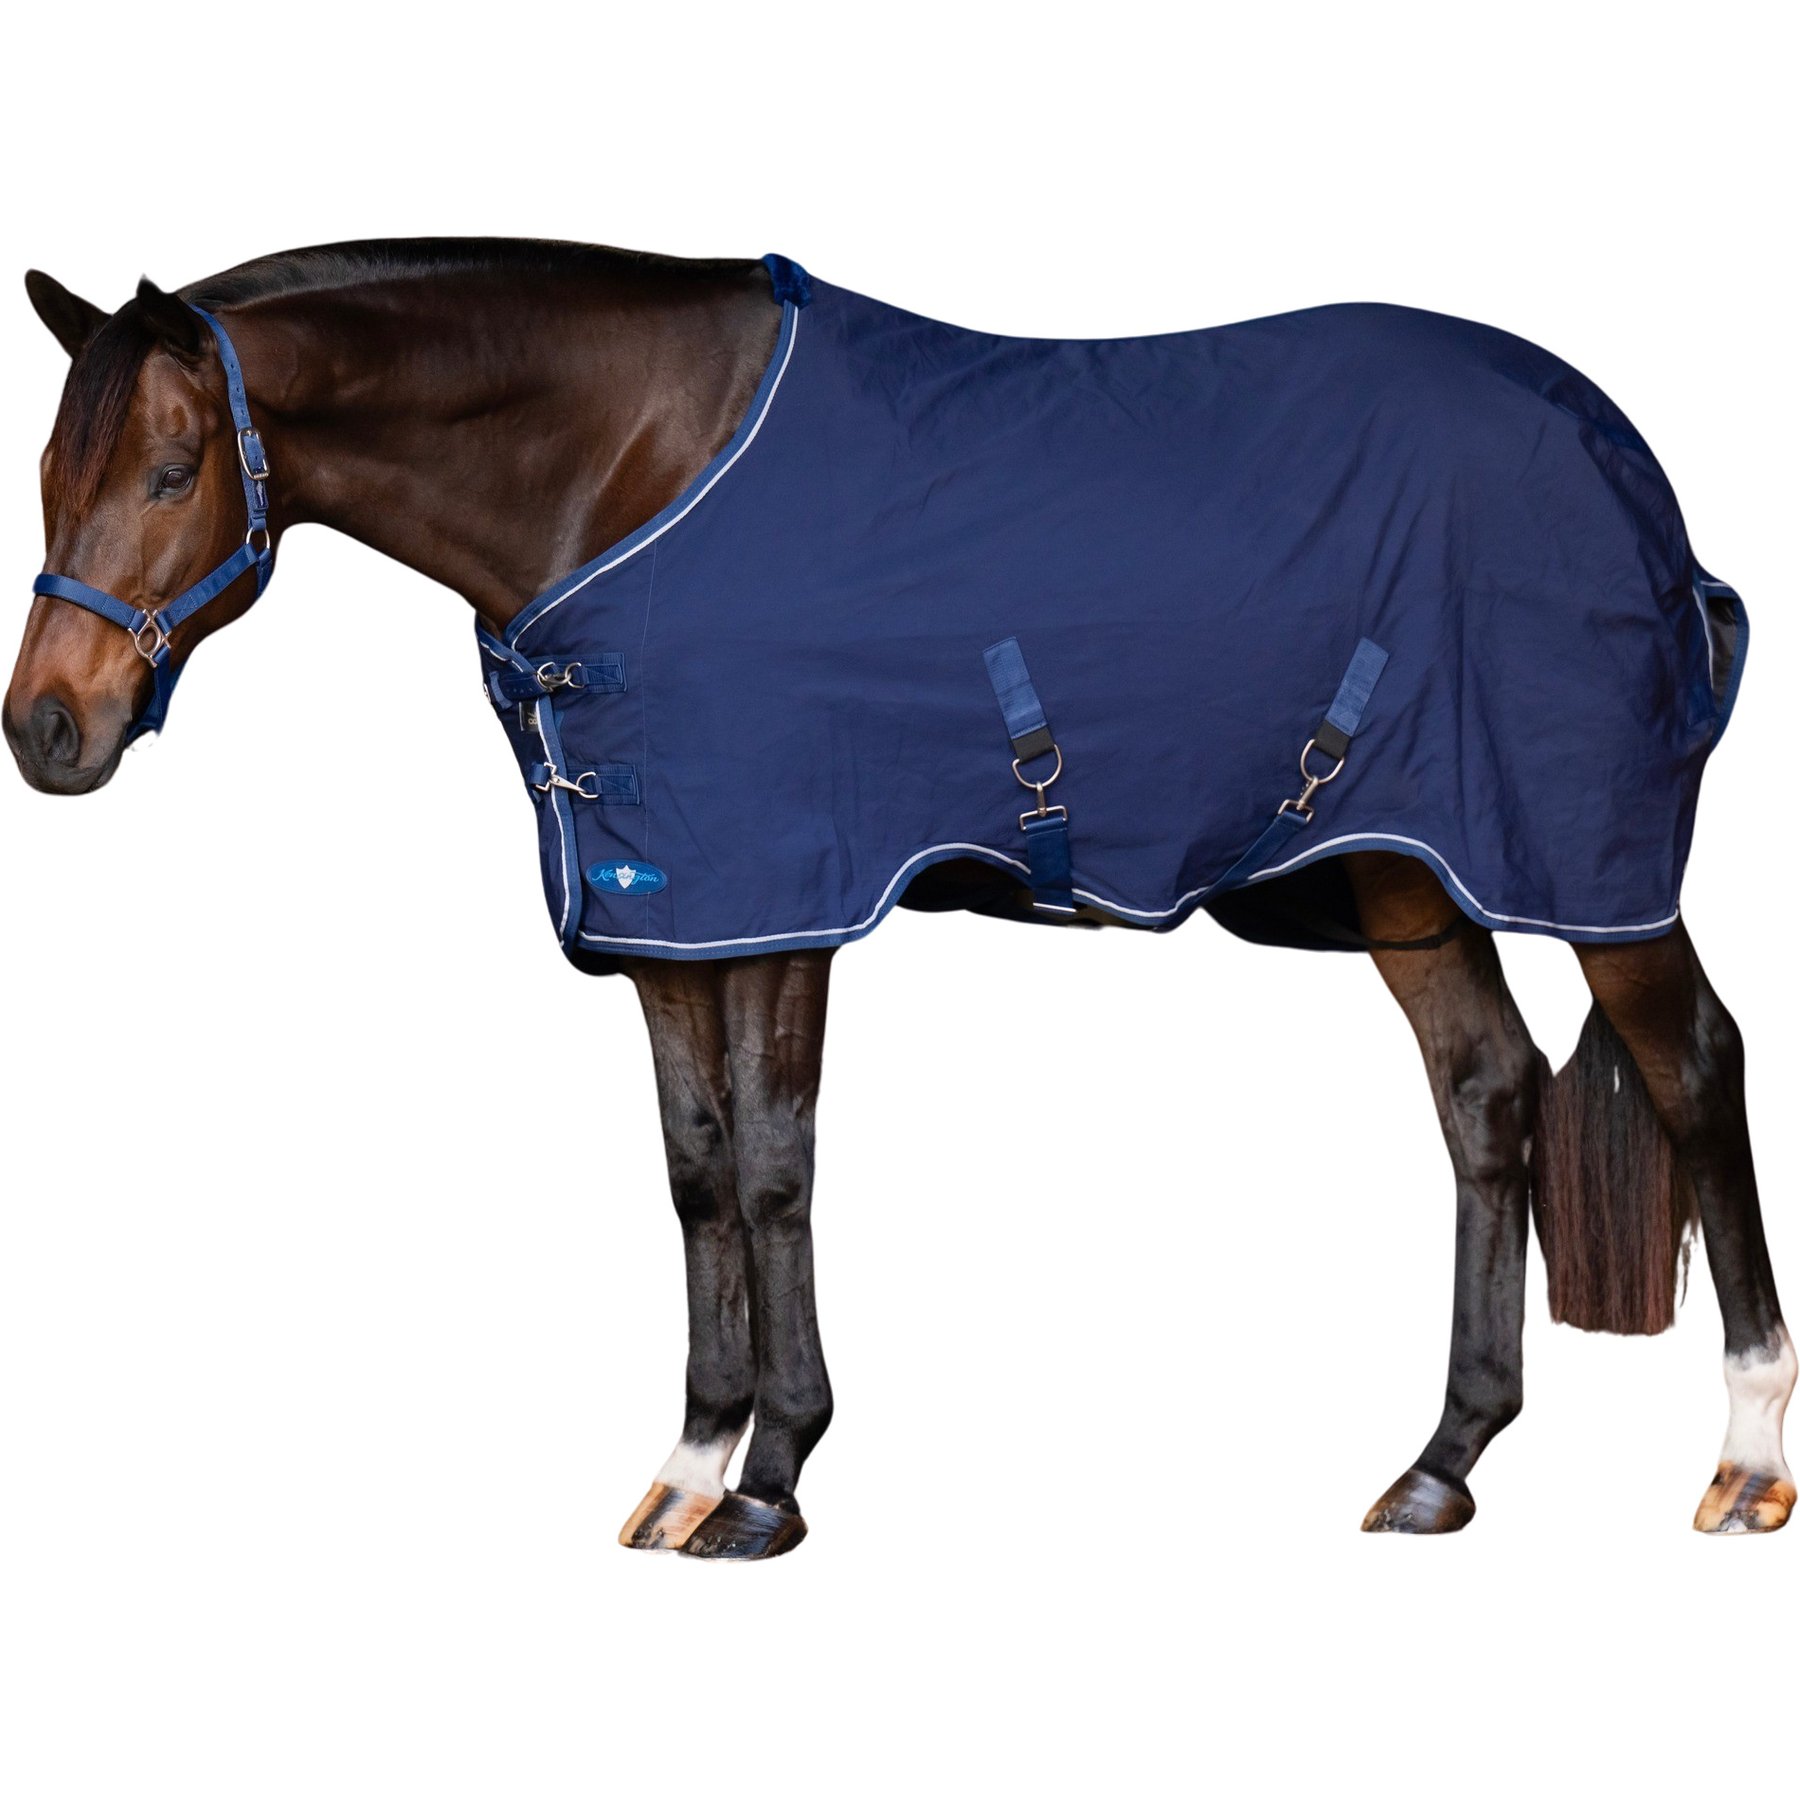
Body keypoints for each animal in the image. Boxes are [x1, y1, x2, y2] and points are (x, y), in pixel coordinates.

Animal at [7, 239, 1789, 1557]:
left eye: (173, 469)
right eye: (44, 469)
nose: (46, 730)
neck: (630, 467)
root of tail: (1630, 469)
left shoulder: (793, 900)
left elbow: (777, 1166)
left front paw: (772, 1483)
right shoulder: (677, 912)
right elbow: (696, 1175)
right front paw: (689, 1467)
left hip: (1592, 873)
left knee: (1695, 1068)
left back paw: (1749, 1460)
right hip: (1408, 871)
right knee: (1487, 1099)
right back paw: (1440, 1466)